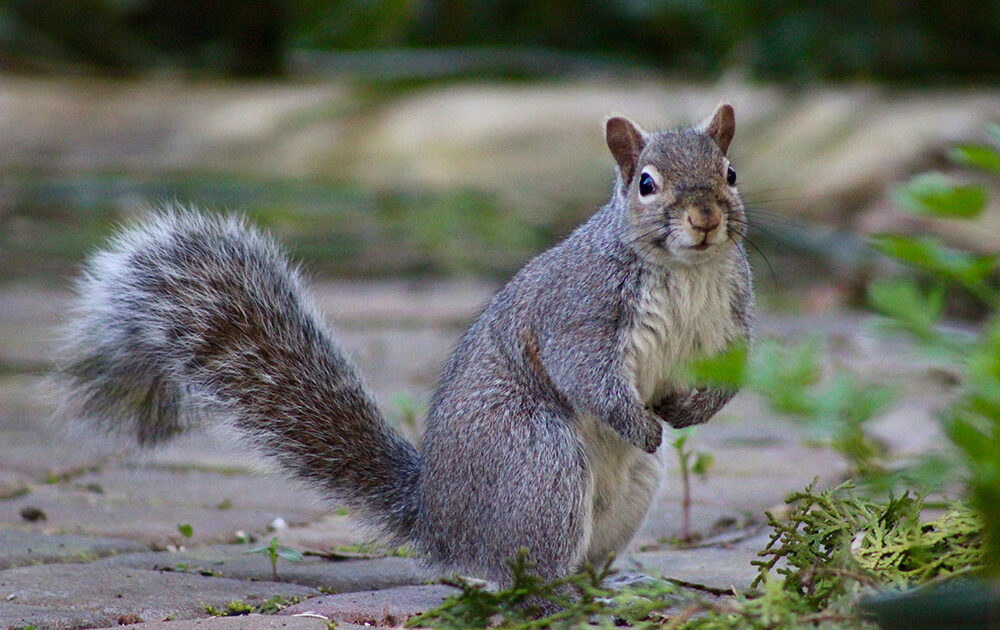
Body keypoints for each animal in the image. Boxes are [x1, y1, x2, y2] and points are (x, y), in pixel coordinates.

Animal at [58, 102, 752, 584]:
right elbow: (584, 372)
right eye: (646, 183)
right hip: (536, 462)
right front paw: (641, 422)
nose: (705, 218)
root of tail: (438, 522)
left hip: (625, 491)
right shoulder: (579, 311)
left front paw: (690, 410)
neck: (685, 270)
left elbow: (731, 378)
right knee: (510, 570)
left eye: (731, 172)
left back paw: (608, 584)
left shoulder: (729, 319)